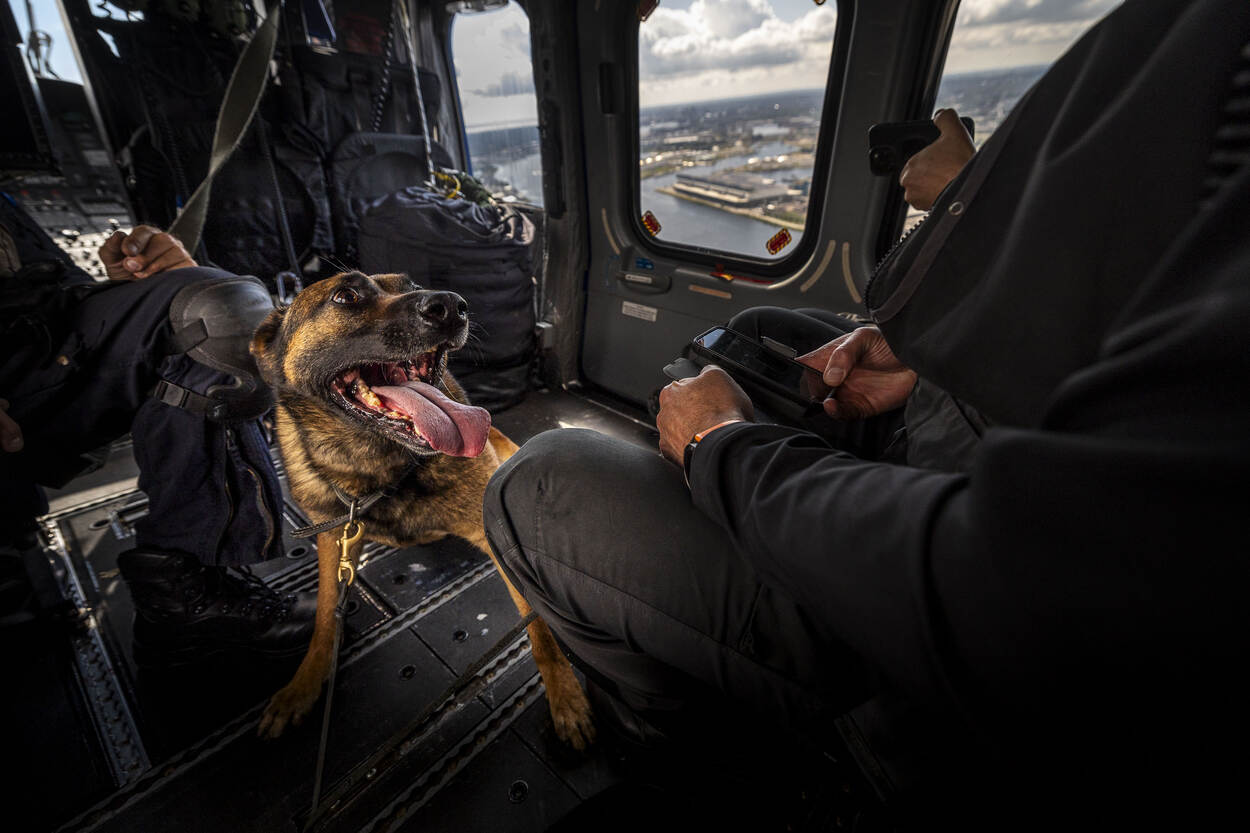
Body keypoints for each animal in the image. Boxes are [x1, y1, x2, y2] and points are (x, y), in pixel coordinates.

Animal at [251, 271, 592, 745]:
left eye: (411, 284)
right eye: (346, 295)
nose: (452, 306)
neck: (381, 469)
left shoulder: (492, 530)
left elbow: (538, 626)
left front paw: (565, 695)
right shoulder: (334, 540)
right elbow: (324, 617)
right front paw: (302, 686)